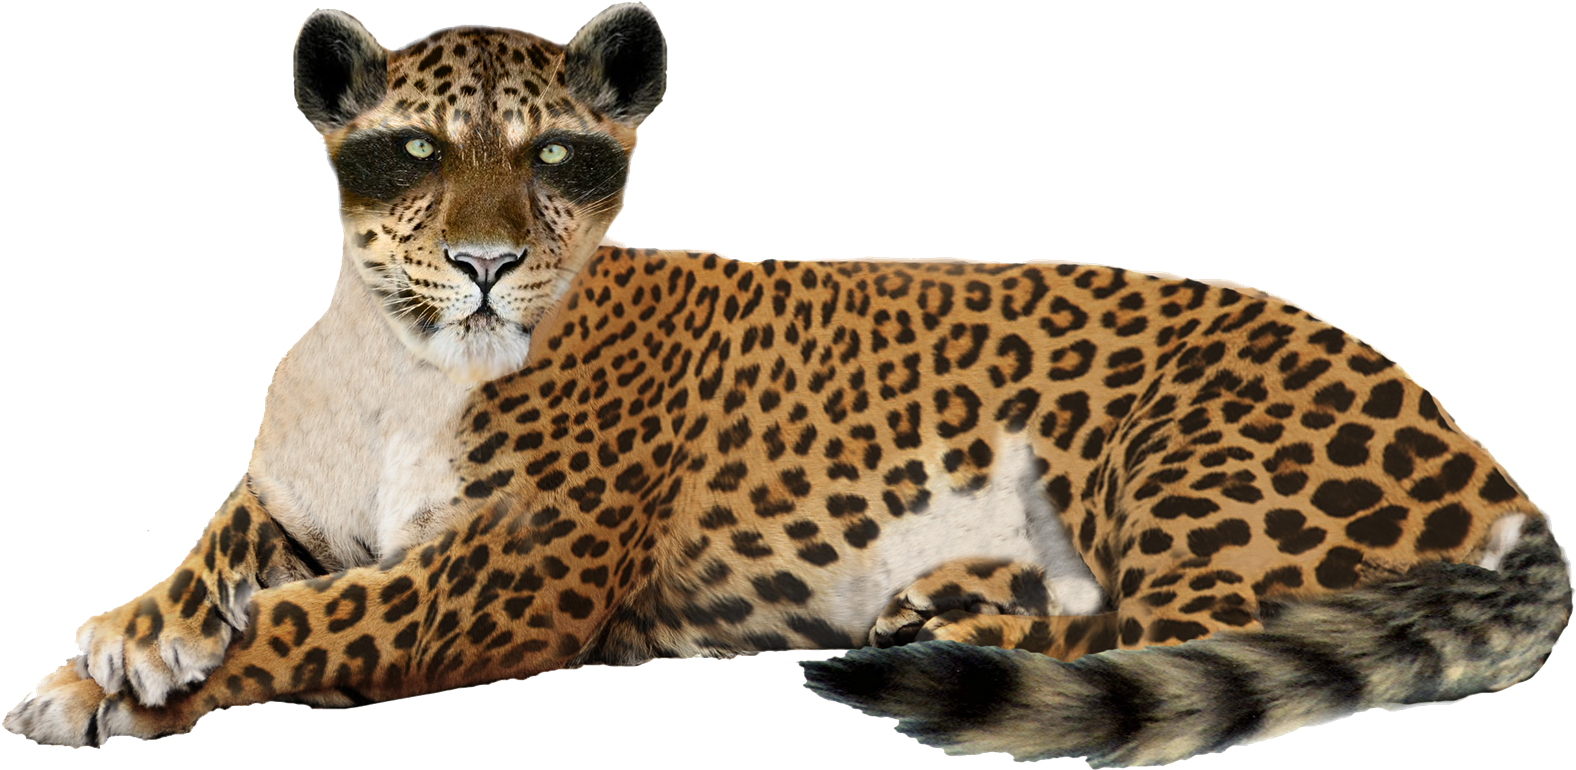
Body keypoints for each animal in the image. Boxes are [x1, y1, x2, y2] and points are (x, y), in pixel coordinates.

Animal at [5, 4, 1569, 765]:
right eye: (413, 153)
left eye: (560, 155)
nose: (488, 263)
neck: (395, 362)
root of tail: (1490, 466)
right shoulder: (290, 504)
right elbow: (215, 555)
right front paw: (128, 636)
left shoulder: (505, 576)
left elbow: (314, 618)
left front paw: (126, 687)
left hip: (1180, 462)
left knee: (1158, 633)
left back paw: (949, 617)